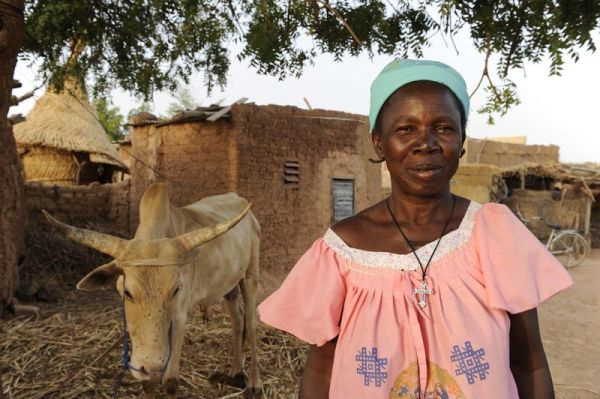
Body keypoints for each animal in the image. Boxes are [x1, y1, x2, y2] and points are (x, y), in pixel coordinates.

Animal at [43, 185, 264, 399]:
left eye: (175, 290)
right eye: (127, 292)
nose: (151, 365)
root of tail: (237, 198)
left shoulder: (179, 317)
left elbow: (171, 382)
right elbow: (148, 384)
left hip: (251, 275)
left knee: (252, 324)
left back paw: (254, 384)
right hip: (230, 285)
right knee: (238, 320)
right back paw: (235, 372)